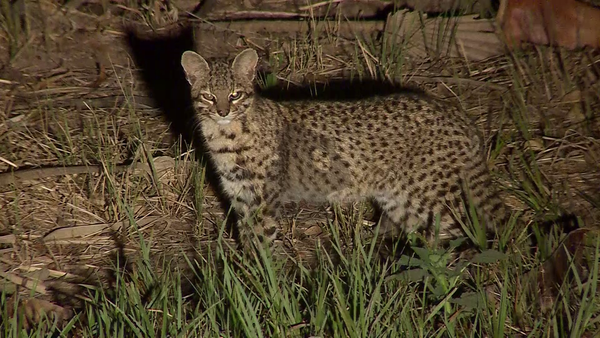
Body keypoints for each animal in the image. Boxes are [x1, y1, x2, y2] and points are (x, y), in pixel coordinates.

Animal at [180, 48, 508, 251]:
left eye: (235, 94)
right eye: (209, 96)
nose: (222, 111)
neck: (225, 136)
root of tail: (456, 112)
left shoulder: (263, 203)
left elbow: (263, 245)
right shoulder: (241, 200)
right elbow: (248, 241)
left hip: (431, 195)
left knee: (464, 229)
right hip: (401, 200)